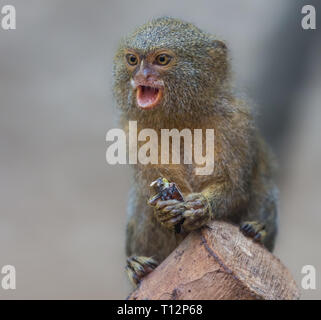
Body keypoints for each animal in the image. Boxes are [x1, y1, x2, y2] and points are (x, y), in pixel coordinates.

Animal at [112, 16, 278, 288]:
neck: (180, 119)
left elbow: (235, 188)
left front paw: (202, 207)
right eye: (133, 60)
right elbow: (154, 190)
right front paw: (165, 211)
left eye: (161, 60)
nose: (141, 76)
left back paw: (257, 232)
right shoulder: (136, 133)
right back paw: (136, 266)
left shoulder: (235, 122)